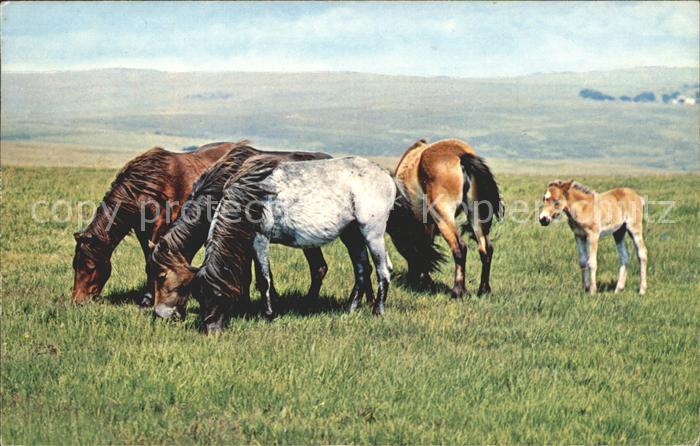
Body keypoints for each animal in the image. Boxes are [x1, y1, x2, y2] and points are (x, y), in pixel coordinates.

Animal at [71, 141, 235, 304]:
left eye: (91, 267)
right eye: (74, 265)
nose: (77, 301)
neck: (145, 188)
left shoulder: (159, 227)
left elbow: (152, 260)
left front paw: (150, 298)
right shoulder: (142, 231)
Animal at [186, 155, 396, 333]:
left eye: (218, 295)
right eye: (199, 297)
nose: (210, 331)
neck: (251, 197)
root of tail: (386, 176)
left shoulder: (261, 238)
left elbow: (263, 279)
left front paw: (269, 315)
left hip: (372, 233)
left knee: (382, 271)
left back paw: (378, 311)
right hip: (352, 235)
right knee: (362, 269)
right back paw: (350, 309)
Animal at [388, 138, 503, 298]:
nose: (412, 278)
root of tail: (461, 156)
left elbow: (425, 246)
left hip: (443, 216)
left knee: (460, 248)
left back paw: (458, 291)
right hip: (475, 215)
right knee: (486, 248)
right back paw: (483, 290)